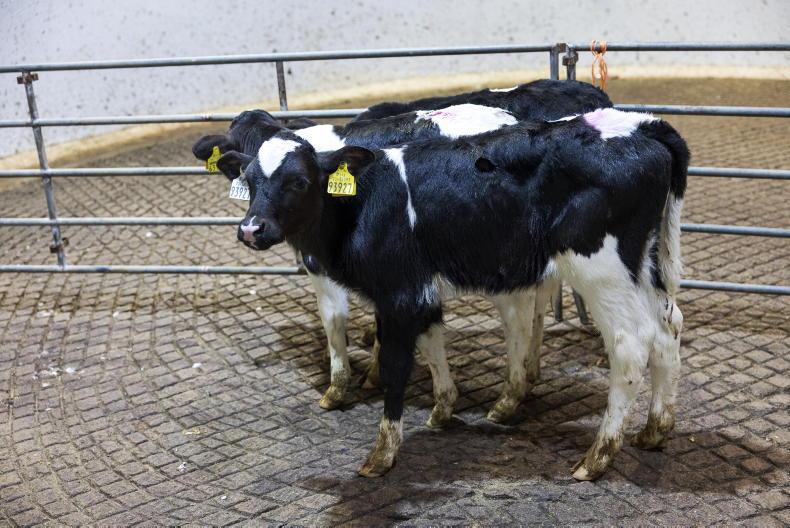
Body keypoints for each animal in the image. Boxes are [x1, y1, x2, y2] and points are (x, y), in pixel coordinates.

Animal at [214, 107, 689, 481]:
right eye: (249, 180)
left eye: (298, 181)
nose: (252, 229)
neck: (364, 200)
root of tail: (642, 125)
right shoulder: (417, 290)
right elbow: (431, 343)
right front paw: (442, 409)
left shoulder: (398, 292)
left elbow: (394, 367)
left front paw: (381, 453)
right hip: (645, 265)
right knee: (667, 328)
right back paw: (654, 430)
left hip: (602, 270)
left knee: (630, 346)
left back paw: (597, 457)